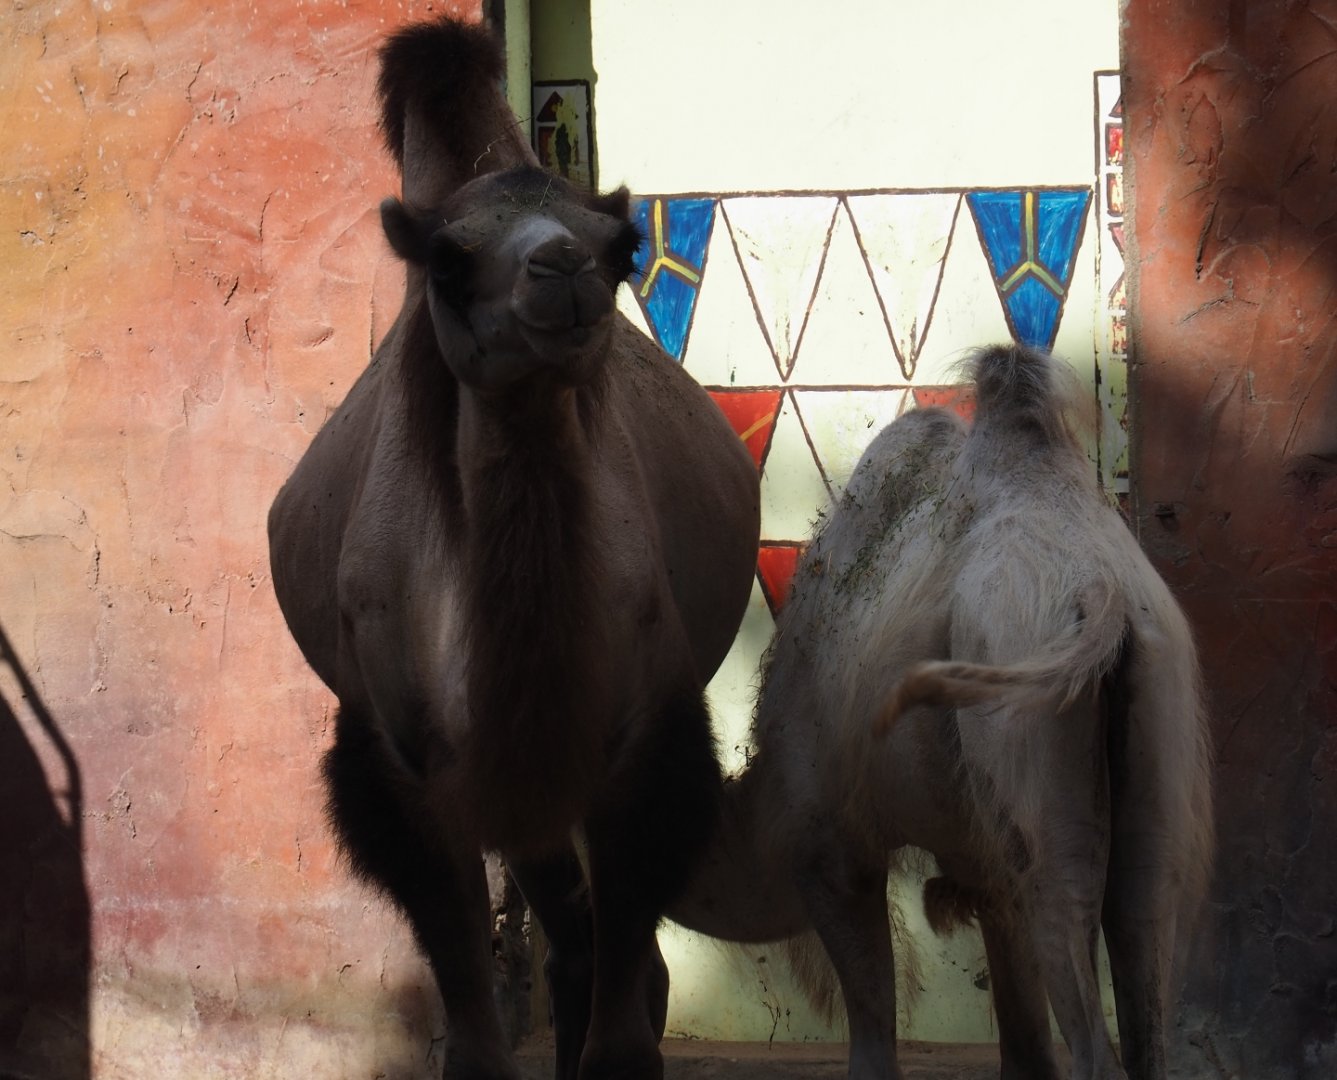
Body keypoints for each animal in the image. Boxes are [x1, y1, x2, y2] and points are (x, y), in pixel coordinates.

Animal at [267, 18, 759, 1080]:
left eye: (623, 248)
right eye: (451, 262)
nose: (561, 268)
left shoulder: (643, 730)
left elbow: (625, 967)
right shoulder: (400, 757)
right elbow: (462, 974)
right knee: (563, 922)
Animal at [669, 345, 1214, 1080]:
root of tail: (1102, 590)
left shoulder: (829, 840)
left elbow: (873, 1037)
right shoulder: (979, 865)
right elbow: (1024, 1046)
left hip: (1030, 750)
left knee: (1072, 940)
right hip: (1156, 717)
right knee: (1140, 934)